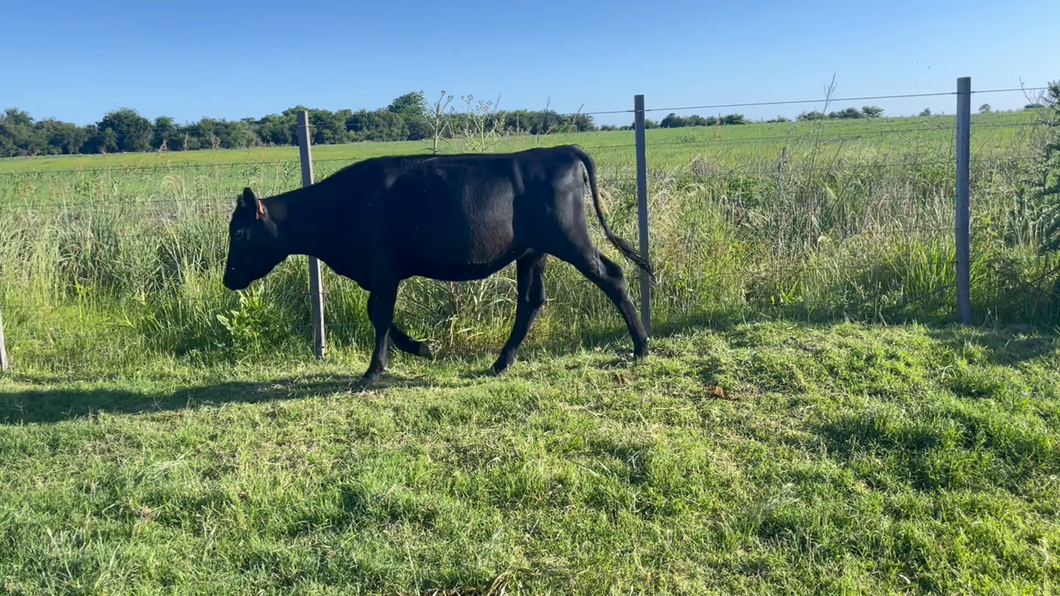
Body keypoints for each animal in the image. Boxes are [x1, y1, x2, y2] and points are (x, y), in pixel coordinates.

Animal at [222, 142, 648, 388]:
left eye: (238, 233)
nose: (227, 279)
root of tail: (560, 150)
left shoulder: (382, 268)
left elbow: (379, 315)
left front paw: (375, 370)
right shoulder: (380, 272)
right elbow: (378, 314)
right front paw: (421, 348)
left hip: (569, 237)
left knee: (613, 276)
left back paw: (642, 346)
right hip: (532, 252)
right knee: (531, 302)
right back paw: (501, 363)